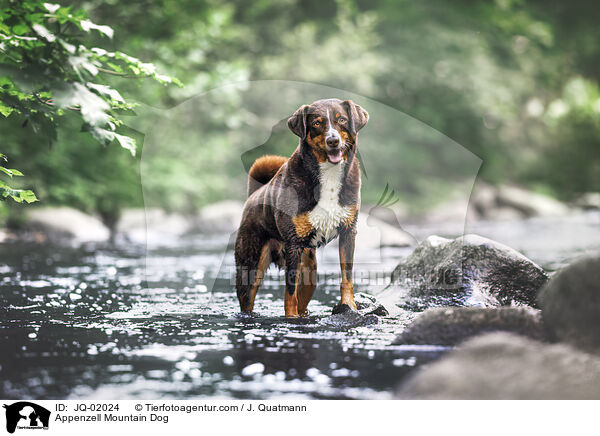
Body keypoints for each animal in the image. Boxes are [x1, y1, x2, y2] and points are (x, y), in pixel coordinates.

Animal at [236, 98, 368, 316]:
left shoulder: (348, 232)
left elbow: (346, 277)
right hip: (250, 268)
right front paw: (291, 318)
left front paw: (349, 305)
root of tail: (255, 193)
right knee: (248, 299)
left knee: (302, 299)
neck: (329, 176)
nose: (333, 140)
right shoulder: (293, 245)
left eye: (341, 120)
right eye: (317, 123)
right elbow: (289, 293)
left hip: (309, 272)